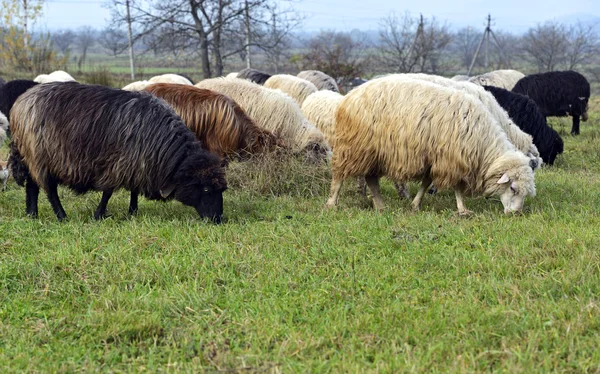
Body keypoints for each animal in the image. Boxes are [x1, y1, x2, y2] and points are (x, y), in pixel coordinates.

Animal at [8, 82, 229, 222]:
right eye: (206, 189)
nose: (218, 219)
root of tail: (20, 104)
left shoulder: (138, 163)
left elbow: (134, 190)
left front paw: (132, 212)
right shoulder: (120, 163)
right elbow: (108, 192)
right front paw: (99, 215)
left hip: (30, 156)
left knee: (32, 186)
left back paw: (32, 214)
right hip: (40, 156)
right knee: (49, 189)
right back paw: (62, 216)